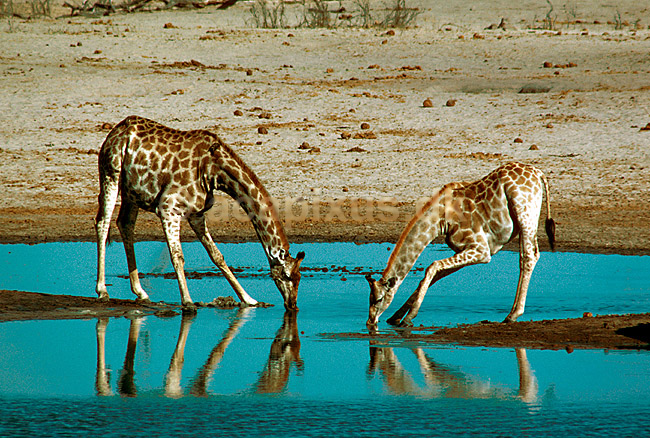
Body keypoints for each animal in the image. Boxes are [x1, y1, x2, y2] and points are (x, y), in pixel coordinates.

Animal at [95, 115, 305, 311]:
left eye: (299, 276)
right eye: (286, 275)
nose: (292, 305)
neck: (214, 171)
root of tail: (115, 131)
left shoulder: (197, 213)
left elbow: (217, 255)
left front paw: (249, 299)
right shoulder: (168, 209)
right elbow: (177, 256)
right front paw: (187, 302)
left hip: (131, 192)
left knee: (125, 224)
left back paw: (140, 292)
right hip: (110, 174)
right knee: (103, 223)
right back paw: (102, 291)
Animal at [366, 162, 555, 328]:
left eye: (378, 299)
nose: (370, 322)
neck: (440, 220)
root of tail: (539, 174)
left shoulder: (481, 250)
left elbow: (432, 266)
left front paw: (408, 317)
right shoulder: (464, 249)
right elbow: (435, 275)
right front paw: (396, 317)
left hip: (524, 213)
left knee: (528, 256)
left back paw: (513, 314)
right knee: (531, 254)